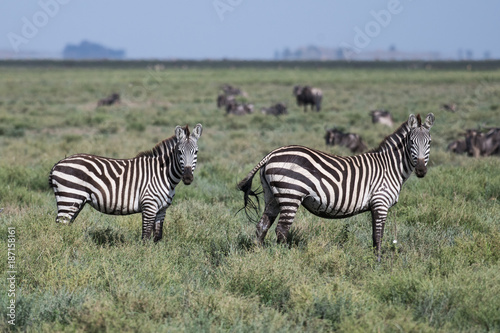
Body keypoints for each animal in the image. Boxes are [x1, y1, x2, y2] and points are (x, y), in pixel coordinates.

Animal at [47, 123, 202, 240]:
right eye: (179, 152)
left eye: (196, 152)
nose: (188, 178)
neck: (163, 174)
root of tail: (57, 164)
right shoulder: (149, 205)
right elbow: (146, 237)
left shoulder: (162, 210)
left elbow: (157, 237)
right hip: (69, 197)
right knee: (60, 225)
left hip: (76, 201)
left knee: (66, 225)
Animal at [238, 113, 434, 260]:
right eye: (411, 143)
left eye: (430, 142)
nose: (421, 170)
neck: (390, 167)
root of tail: (271, 154)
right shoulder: (380, 202)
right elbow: (378, 236)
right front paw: (377, 263)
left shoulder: (376, 205)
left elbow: (375, 235)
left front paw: (375, 260)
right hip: (290, 194)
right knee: (282, 230)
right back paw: (285, 259)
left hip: (272, 195)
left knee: (262, 226)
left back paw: (259, 256)